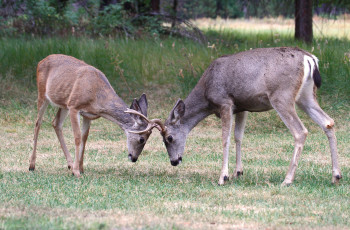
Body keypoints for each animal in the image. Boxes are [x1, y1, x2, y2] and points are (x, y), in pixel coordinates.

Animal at [29, 54, 161, 178]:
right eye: (142, 139)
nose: (134, 158)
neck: (96, 96)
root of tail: (41, 61)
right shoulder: (74, 106)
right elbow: (77, 137)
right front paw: (76, 172)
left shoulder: (87, 114)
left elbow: (84, 138)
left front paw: (81, 168)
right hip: (43, 94)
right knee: (38, 123)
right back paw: (32, 165)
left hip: (63, 103)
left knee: (56, 123)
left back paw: (69, 164)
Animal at [157, 47, 342, 186]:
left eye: (169, 138)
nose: (174, 161)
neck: (206, 91)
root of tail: (310, 58)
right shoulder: (241, 107)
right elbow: (238, 136)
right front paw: (238, 172)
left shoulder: (225, 102)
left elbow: (225, 138)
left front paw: (223, 177)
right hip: (306, 96)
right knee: (328, 122)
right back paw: (336, 176)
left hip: (282, 96)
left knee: (300, 131)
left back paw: (287, 180)